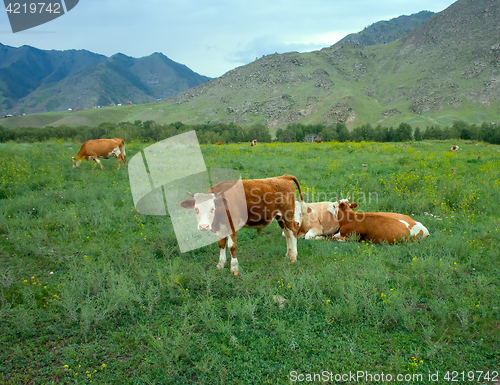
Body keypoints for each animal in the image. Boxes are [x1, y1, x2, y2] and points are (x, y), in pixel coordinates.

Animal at [180, 172, 308, 274]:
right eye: (196, 209)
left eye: (213, 209)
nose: (204, 226)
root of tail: (283, 177)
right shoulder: (220, 228)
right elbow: (221, 244)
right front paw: (220, 265)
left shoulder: (233, 225)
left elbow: (231, 246)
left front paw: (234, 268)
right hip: (279, 217)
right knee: (287, 233)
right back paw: (288, 254)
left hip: (288, 214)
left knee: (293, 231)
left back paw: (293, 257)